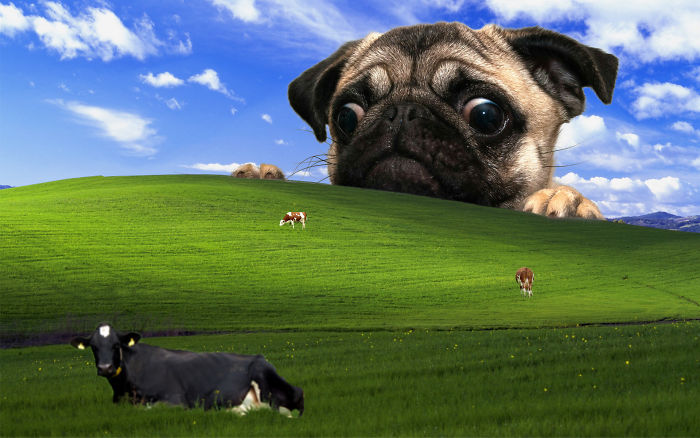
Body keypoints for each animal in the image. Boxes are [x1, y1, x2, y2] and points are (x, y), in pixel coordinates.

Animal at [70, 324, 304, 416]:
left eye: (116, 344)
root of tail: (261, 357)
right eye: (93, 346)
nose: (105, 368)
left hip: (268, 384)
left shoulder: (176, 401)